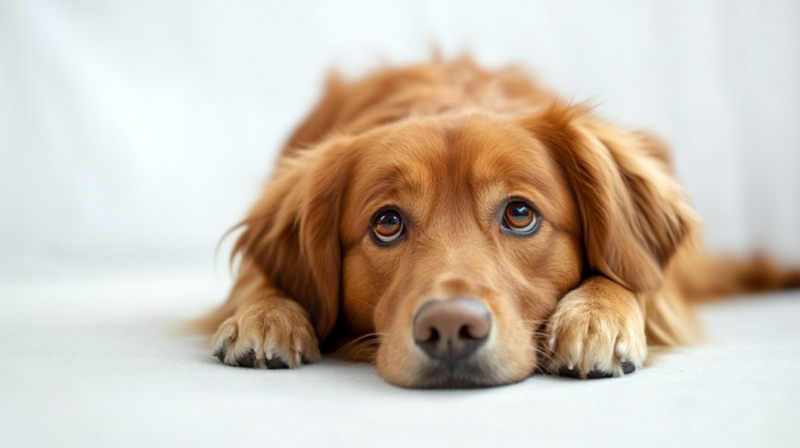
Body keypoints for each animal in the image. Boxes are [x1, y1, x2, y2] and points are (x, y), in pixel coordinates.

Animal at [195, 58, 800, 388]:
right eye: (387, 222)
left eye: (520, 213)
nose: (450, 329)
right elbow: (258, 281)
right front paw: (266, 314)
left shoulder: (656, 281)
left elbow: (633, 278)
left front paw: (596, 317)